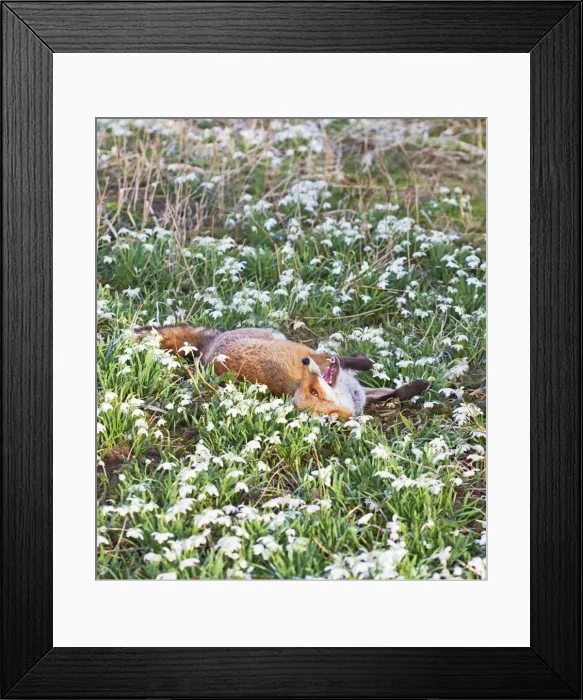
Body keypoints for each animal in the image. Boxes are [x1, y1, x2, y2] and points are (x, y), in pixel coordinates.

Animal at [134, 324, 429, 420]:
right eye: (313, 392)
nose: (305, 364)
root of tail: (208, 353)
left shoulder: (358, 389)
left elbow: (393, 391)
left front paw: (416, 387)